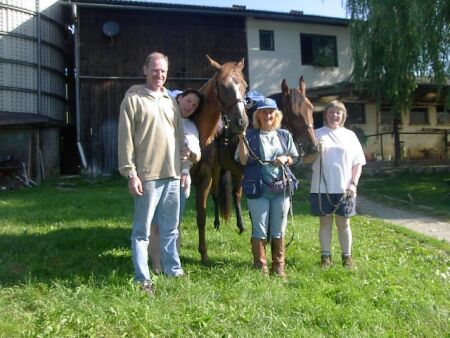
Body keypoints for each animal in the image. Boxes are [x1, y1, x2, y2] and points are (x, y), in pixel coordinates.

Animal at [188, 55, 248, 262]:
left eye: (245, 85)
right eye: (222, 85)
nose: (241, 122)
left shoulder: (205, 177)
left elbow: (201, 216)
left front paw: (204, 253)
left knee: (233, 194)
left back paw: (239, 225)